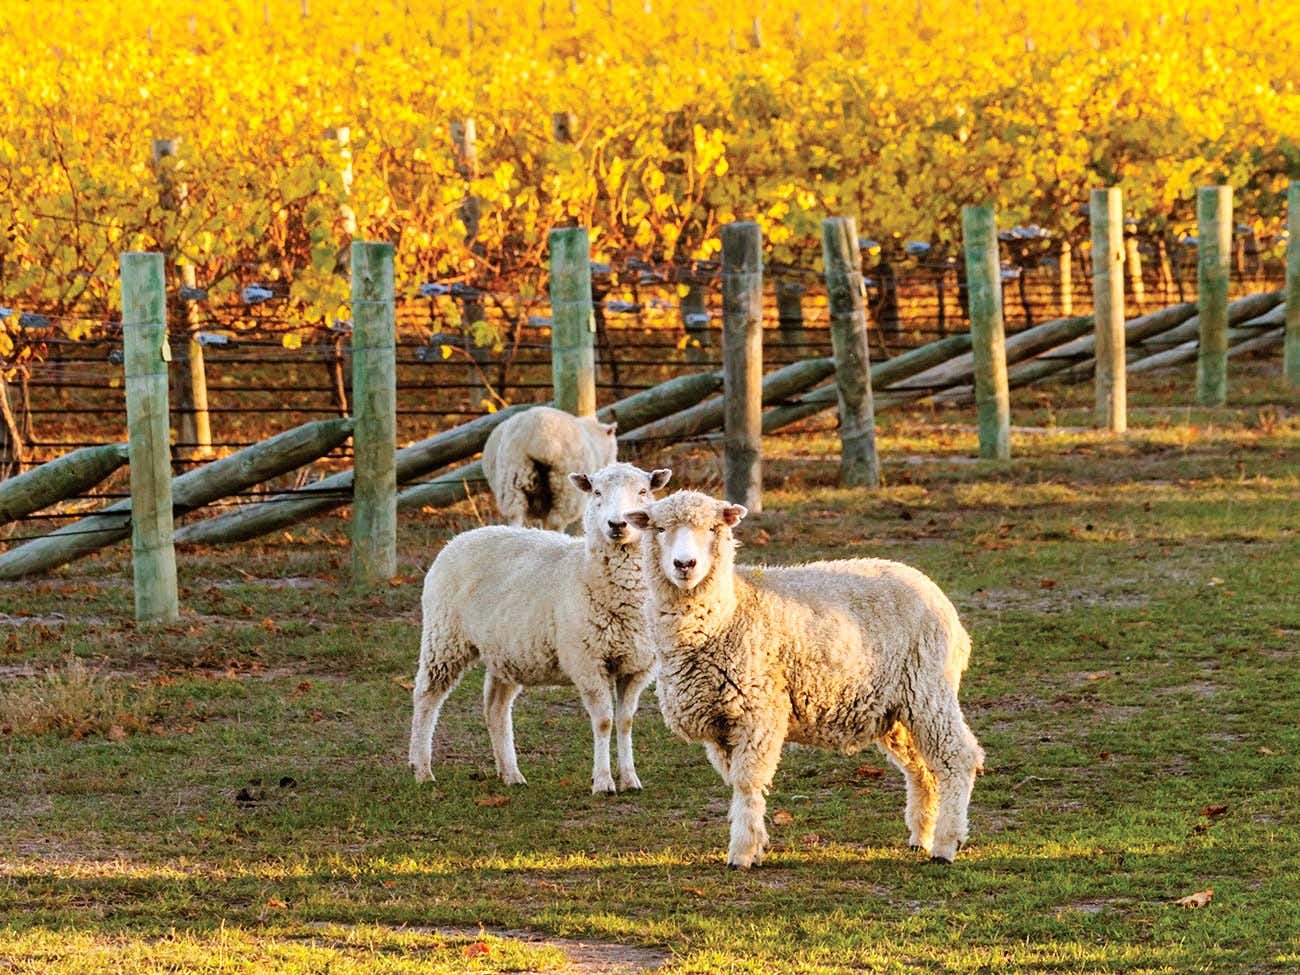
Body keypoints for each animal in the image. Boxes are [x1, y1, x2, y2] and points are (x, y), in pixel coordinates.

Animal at [405, 462, 670, 795]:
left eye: (643, 491)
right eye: (597, 492)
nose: (617, 524)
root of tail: (460, 538)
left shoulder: (637, 666)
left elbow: (625, 722)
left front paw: (630, 779)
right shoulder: (586, 661)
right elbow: (603, 722)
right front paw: (603, 782)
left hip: (506, 651)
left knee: (495, 707)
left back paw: (510, 773)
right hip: (444, 635)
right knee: (427, 696)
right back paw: (421, 769)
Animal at [624, 491, 977, 868]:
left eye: (712, 528)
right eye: (660, 529)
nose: (684, 564)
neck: (728, 612)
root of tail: (936, 593)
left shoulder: (758, 711)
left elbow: (747, 783)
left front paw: (742, 852)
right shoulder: (720, 723)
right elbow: (736, 781)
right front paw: (755, 843)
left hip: (929, 687)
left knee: (958, 757)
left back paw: (945, 844)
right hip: (895, 708)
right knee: (921, 769)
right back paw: (921, 836)